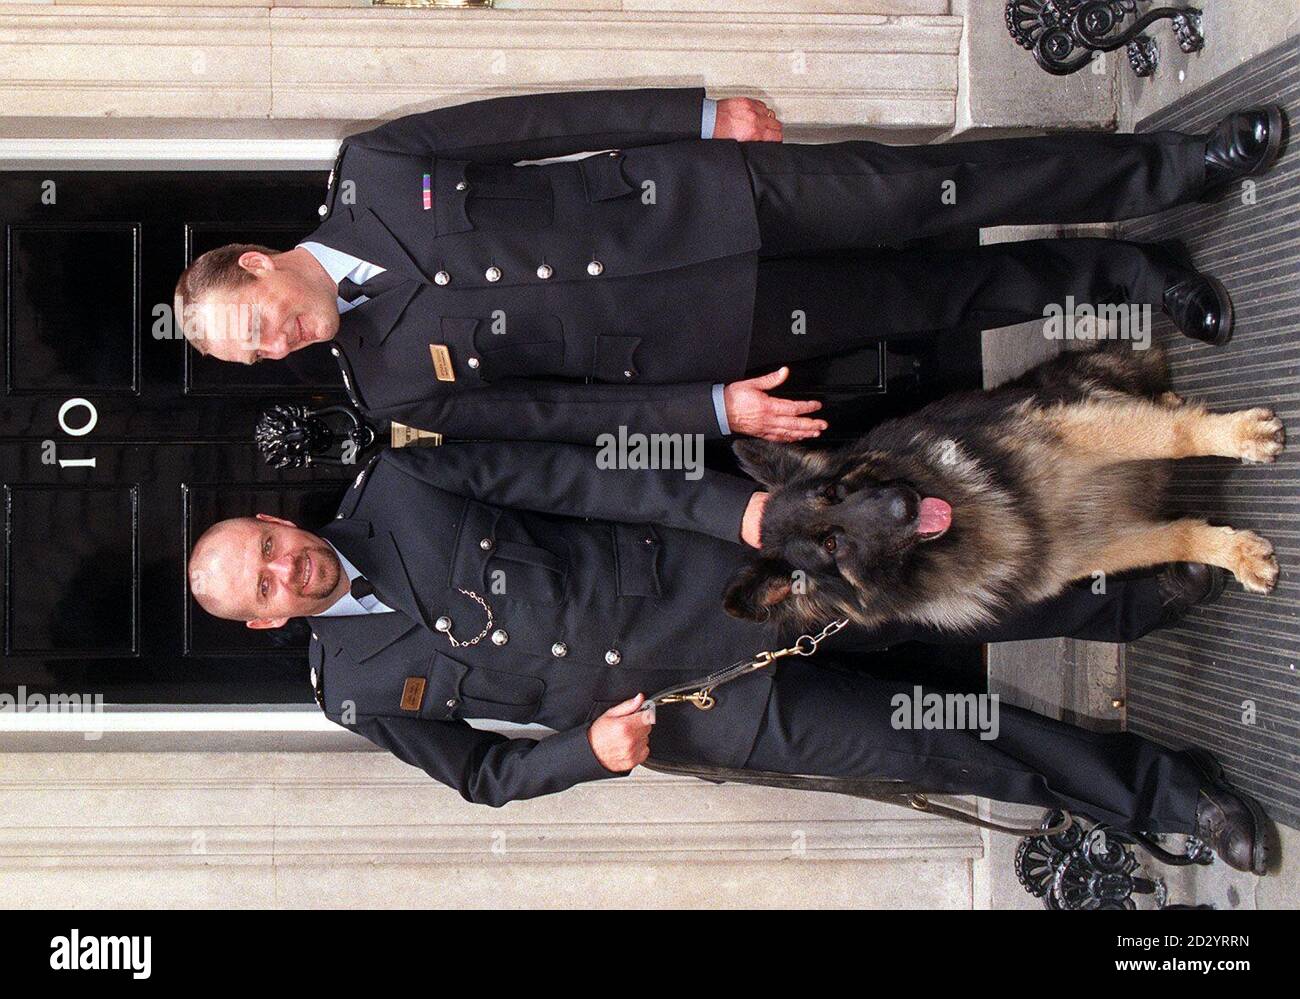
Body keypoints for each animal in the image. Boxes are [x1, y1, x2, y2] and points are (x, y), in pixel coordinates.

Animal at [728, 343, 1284, 634]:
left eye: (836, 493)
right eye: (831, 544)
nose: (903, 504)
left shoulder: (1078, 433)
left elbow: (1173, 435)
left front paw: (1237, 436)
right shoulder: (1092, 544)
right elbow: (1175, 535)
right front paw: (1232, 552)